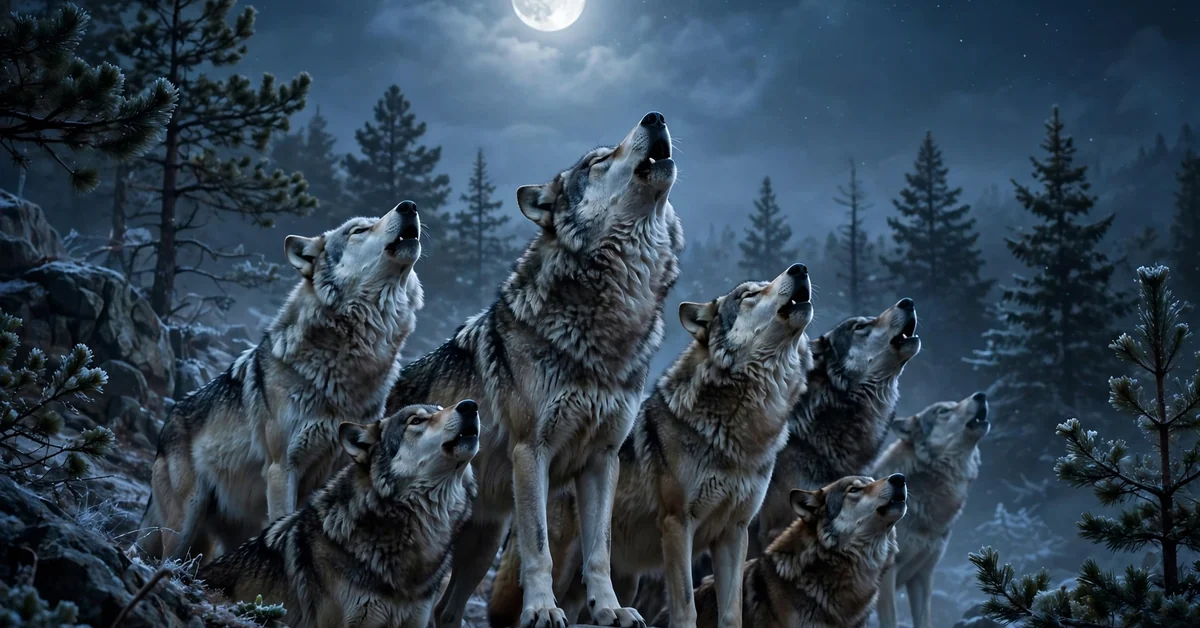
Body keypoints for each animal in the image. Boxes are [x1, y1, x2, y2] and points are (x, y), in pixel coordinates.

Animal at [139, 202, 425, 563]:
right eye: (359, 230)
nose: (409, 206)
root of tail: (167, 424)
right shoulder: (282, 469)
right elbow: (283, 521)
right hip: (184, 522)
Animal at [386, 111, 684, 627]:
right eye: (598, 162)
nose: (655, 116)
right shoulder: (532, 452)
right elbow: (539, 548)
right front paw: (543, 609)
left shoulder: (602, 459)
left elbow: (600, 551)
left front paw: (610, 609)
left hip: (483, 540)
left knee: (447, 610)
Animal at [488, 264, 817, 628]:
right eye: (750, 295)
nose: (800, 268)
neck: (744, 429)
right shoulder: (677, 524)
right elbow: (686, 604)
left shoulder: (734, 532)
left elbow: (732, 613)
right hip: (560, 562)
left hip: (614, 580)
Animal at [873, 392, 990, 628]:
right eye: (943, 411)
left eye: (955, 404)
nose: (981, 395)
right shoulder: (887, 574)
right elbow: (891, 621)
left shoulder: (923, 575)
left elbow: (924, 620)